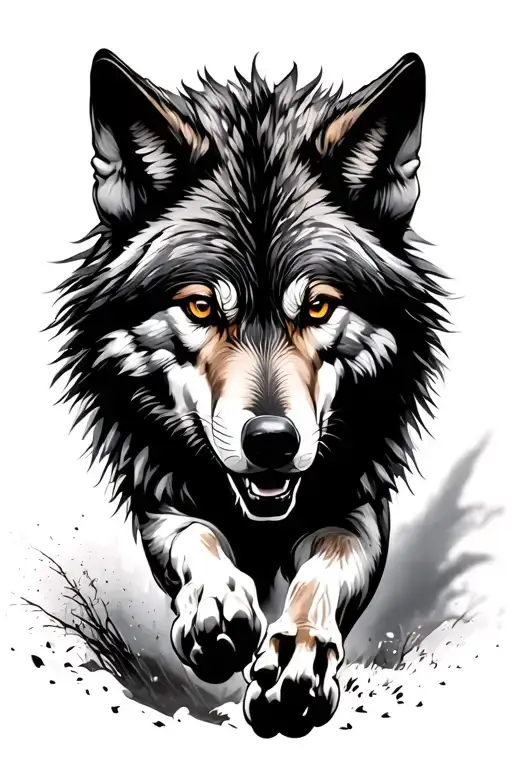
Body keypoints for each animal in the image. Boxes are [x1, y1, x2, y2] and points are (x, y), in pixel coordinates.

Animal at [51, 49, 448, 737]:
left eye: (317, 306)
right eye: (202, 307)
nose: (271, 443)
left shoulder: (360, 504)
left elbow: (324, 570)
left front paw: (297, 660)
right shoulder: (159, 492)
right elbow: (197, 539)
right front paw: (216, 604)